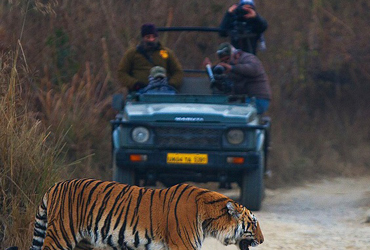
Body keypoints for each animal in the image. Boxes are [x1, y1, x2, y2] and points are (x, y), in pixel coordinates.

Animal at [26, 179, 264, 249]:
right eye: (253, 223)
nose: (262, 241)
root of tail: (55, 185)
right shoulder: (183, 246)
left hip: (83, 243)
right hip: (60, 235)